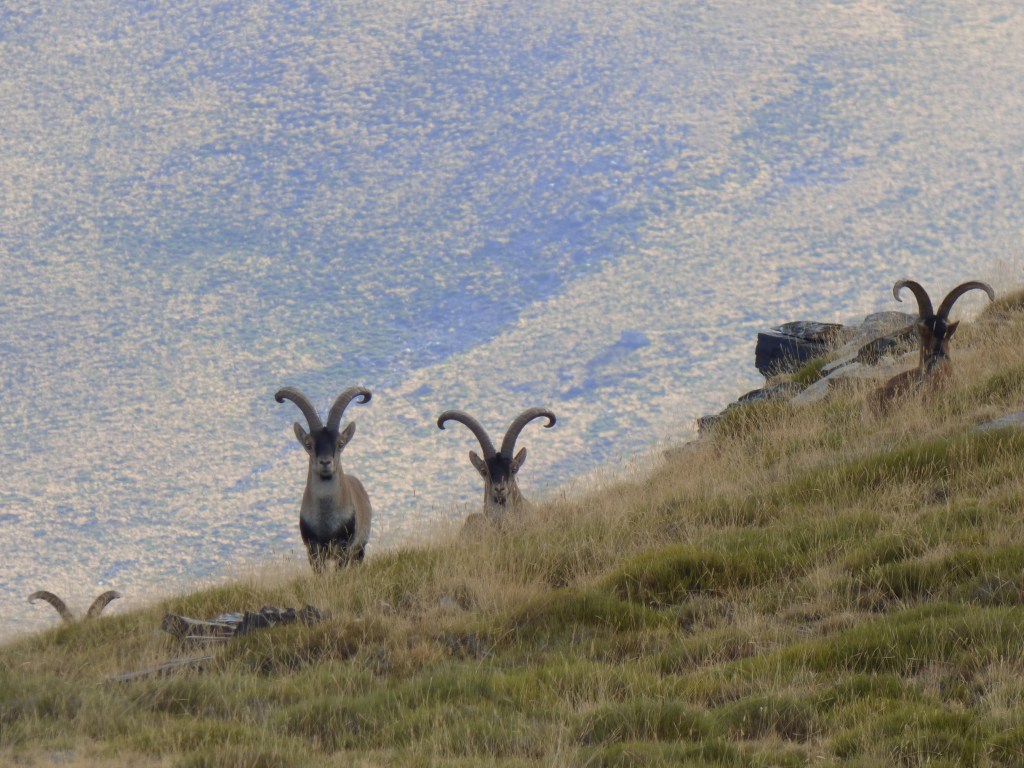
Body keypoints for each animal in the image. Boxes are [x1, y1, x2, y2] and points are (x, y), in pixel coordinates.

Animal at [275, 386, 373, 571]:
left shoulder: (344, 546)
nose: (326, 462)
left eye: (340, 443)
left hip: (360, 549)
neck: (325, 524)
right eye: (309, 444)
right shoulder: (313, 548)